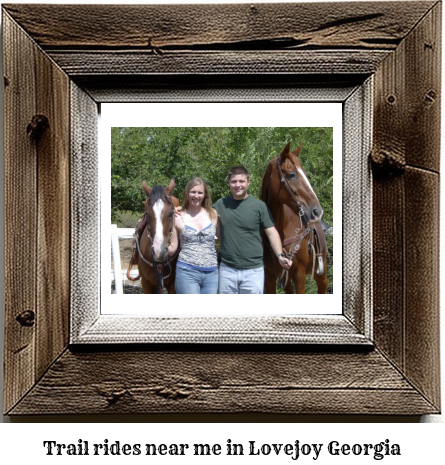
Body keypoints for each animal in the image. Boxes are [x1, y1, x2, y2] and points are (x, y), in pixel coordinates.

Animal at [260, 141, 326, 294]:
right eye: (291, 175)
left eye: (305, 174)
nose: (317, 211)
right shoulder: (269, 276)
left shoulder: (299, 274)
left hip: (321, 276)